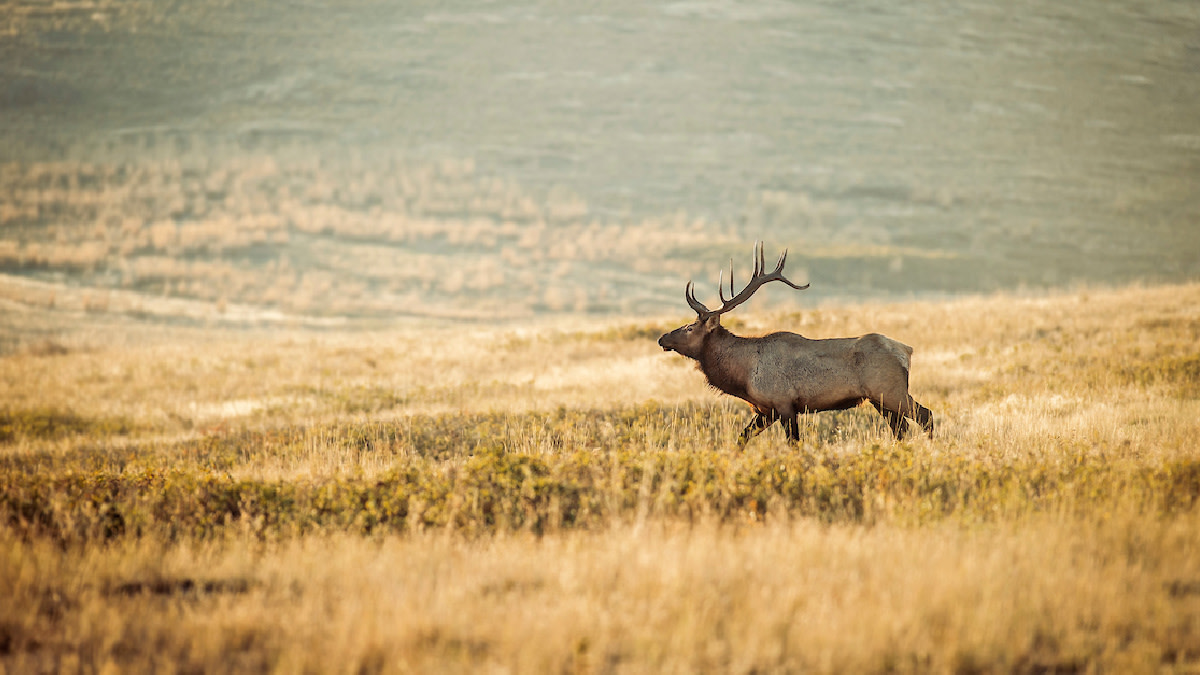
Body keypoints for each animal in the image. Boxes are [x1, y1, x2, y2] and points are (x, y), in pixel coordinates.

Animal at [658, 242, 934, 447]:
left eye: (690, 327)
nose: (662, 337)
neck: (744, 374)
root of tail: (906, 351)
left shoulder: (784, 404)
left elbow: (794, 444)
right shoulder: (765, 410)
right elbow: (741, 438)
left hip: (891, 391)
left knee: (925, 416)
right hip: (880, 399)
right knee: (901, 429)